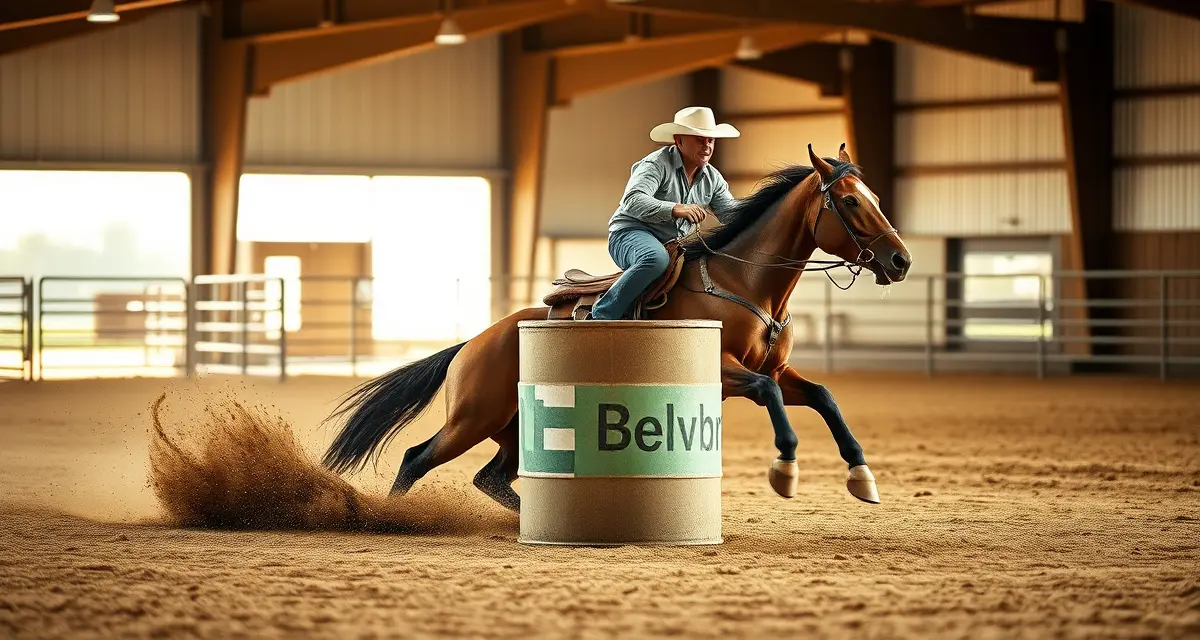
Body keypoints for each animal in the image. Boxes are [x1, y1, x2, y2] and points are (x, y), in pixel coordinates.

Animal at [320, 144, 912, 512]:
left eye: (878, 199)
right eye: (851, 201)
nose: (901, 260)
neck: (745, 282)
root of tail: (474, 343)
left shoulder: (780, 369)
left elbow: (824, 396)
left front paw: (862, 478)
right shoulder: (725, 373)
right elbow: (769, 393)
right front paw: (785, 469)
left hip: (513, 427)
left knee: (490, 476)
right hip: (471, 417)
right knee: (416, 458)